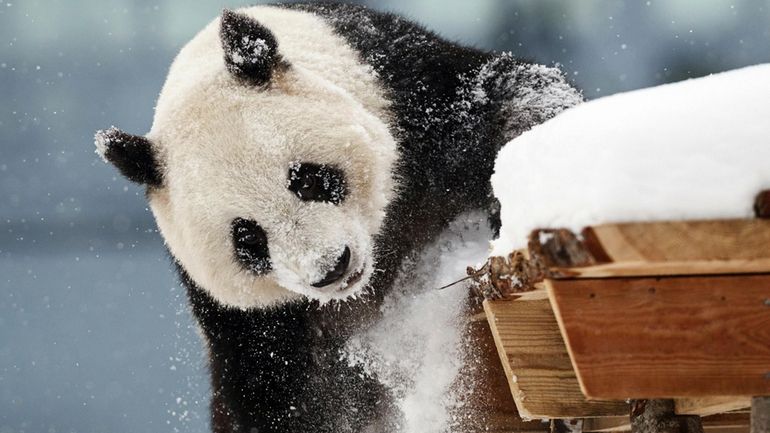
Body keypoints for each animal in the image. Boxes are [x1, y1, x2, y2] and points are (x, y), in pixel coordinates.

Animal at [93, 4, 580, 432]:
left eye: (307, 180)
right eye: (247, 239)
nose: (330, 268)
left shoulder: (409, 97)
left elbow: (509, 98)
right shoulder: (246, 320)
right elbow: (288, 397)